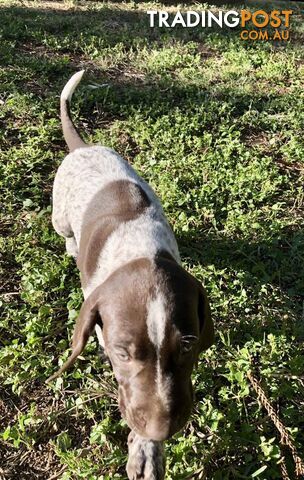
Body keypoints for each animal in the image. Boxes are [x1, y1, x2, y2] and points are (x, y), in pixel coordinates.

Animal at [48, 69, 214, 478]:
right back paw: (71, 245)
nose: (162, 430)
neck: (140, 252)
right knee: (65, 230)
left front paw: (148, 448)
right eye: (121, 353)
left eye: (187, 345)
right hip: (59, 215)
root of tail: (83, 148)